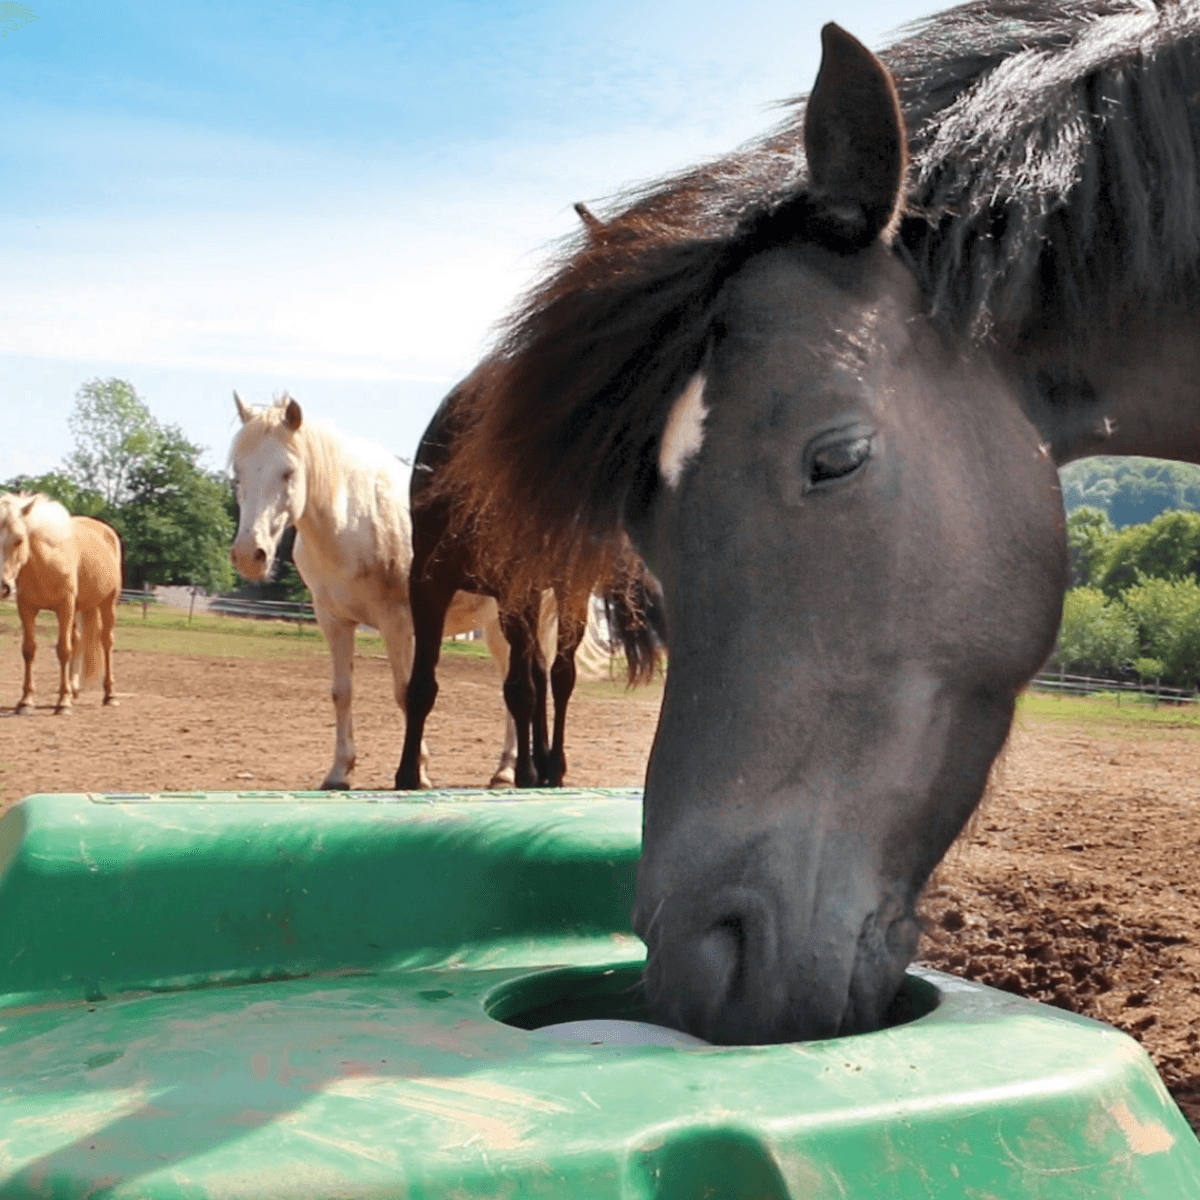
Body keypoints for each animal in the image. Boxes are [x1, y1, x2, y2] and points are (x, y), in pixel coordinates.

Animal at [0, 493, 122, 714]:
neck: (46, 562)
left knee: (107, 642)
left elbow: (63, 650)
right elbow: (28, 650)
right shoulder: (26, 609)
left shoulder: (65, 607)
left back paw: (109, 695)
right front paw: (25, 701)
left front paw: (63, 703)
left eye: (19, 540)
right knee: (78, 640)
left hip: (108, 603)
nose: (2, 587)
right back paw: (73, 689)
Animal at [229, 393, 561, 790]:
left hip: (519, 621)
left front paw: (418, 771)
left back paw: (510, 770)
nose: (249, 555)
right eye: (237, 473)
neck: (350, 522)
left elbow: (405, 692)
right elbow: (342, 692)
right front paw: (339, 771)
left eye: (288, 472)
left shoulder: (397, 623)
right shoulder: (333, 620)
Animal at [395, 372, 663, 790]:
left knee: (559, 676)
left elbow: (523, 689)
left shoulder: (517, 592)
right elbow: (421, 684)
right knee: (539, 670)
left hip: (563, 596)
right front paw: (408, 774)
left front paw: (526, 770)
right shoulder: (428, 583)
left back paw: (551, 766)